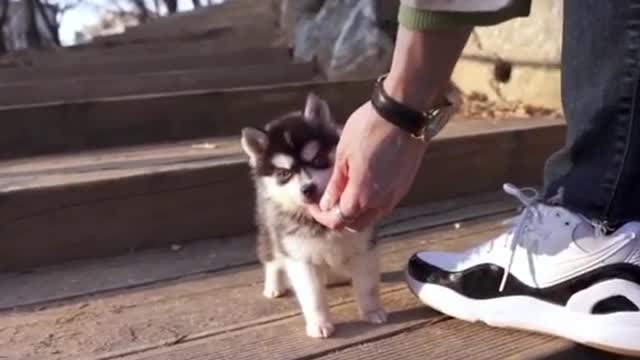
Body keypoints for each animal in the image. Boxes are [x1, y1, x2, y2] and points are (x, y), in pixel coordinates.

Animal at [240, 92, 388, 338]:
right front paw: (319, 323)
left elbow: (367, 285)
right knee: (271, 258)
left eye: (318, 160)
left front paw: (372, 310)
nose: (308, 189)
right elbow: (312, 296)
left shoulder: (363, 247)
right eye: (284, 173)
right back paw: (273, 285)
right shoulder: (300, 258)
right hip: (269, 231)